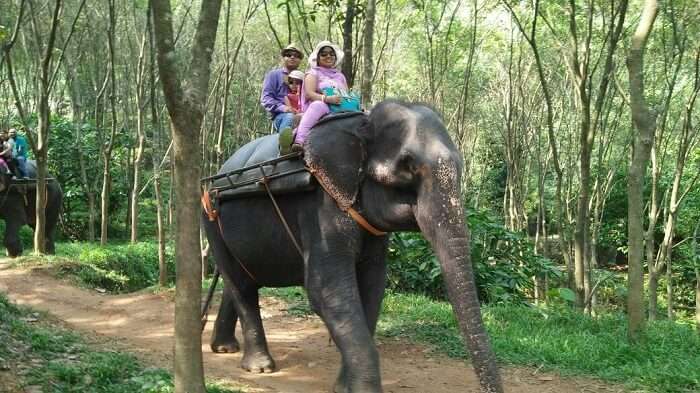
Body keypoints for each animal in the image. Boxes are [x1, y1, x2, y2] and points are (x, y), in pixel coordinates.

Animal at [202, 100, 504, 392]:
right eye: (408, 167)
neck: (361, 122)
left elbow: (372, 287)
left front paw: (343, 387)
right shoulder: (320, 206)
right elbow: (325, 290)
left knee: (242, 281)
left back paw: (225, 348)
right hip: (211, 221)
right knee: (240, 285)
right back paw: (260, 367)